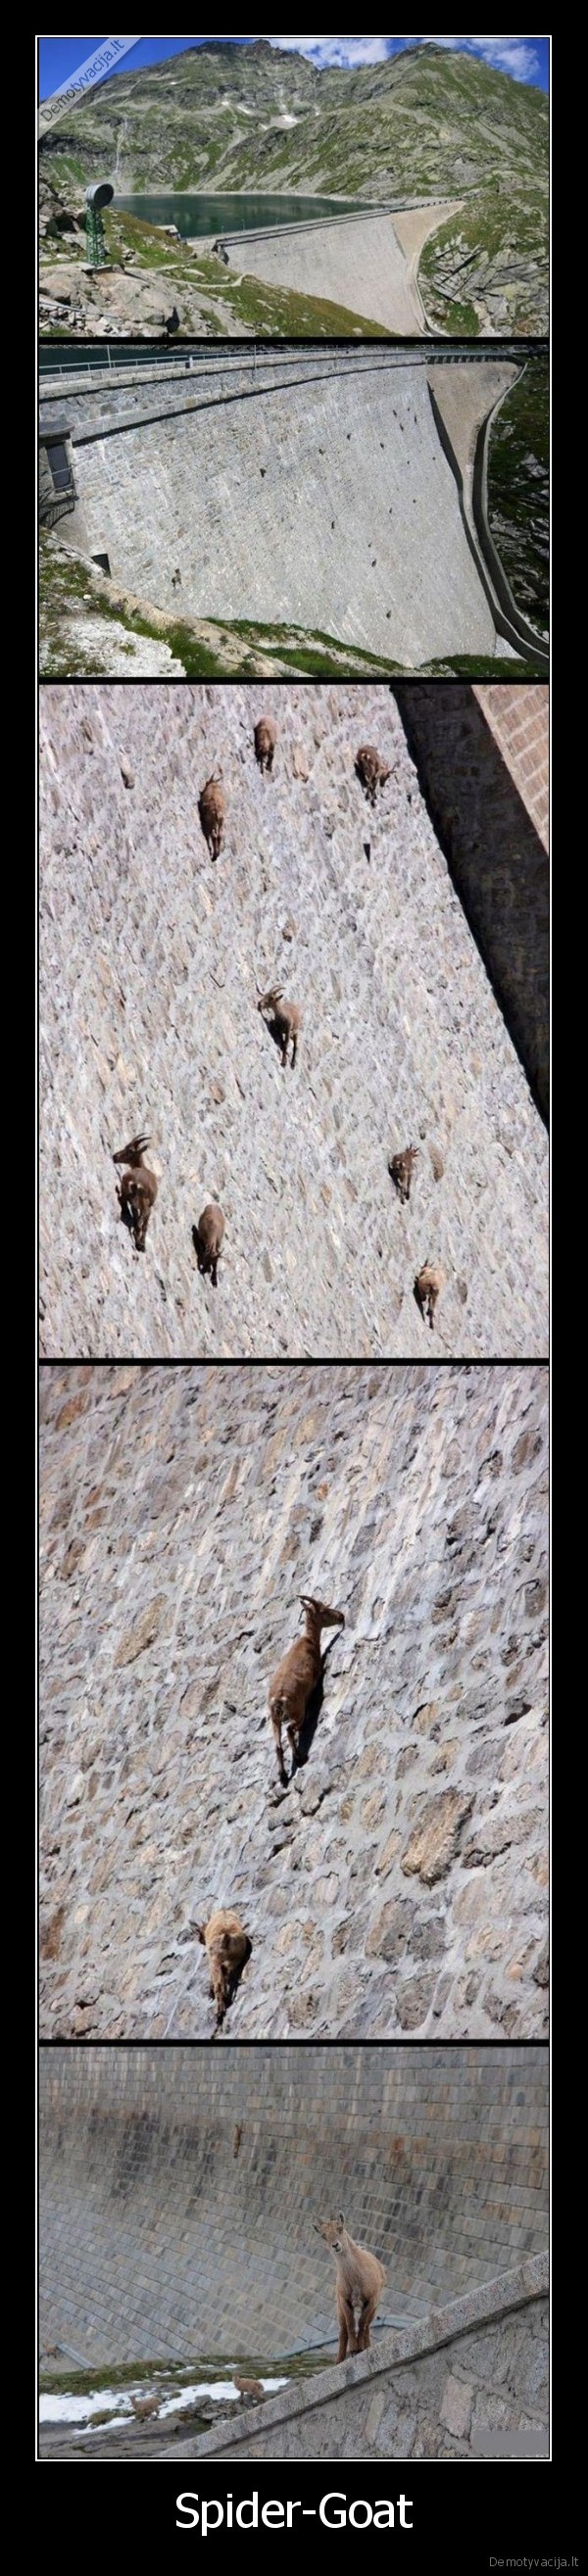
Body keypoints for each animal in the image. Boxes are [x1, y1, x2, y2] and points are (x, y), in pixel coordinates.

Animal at [268, 1594, 345, 1785]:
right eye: (324, 1610)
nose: (341, 1616)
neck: (308, 1641)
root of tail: (278, 1700)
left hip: (274, 1720)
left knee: (277, 1745)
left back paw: (282, 1776)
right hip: (297, 1711)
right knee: (290, 1730)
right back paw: (300, 1758)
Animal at [313, 2215, 386, 2362]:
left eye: (340, 2228)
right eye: (323, 2236)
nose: (335, 2245)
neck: (355, 2279)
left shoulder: (371, 2299)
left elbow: (362, 2322)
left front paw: (360, 2348)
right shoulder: (344, 2300)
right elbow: (351, 2324)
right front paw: (353, 2350)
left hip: (375, 2308)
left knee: (368, 2325)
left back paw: (366, 2346)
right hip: (339, 2308)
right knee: (343, 2331)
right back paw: (339, 2360)